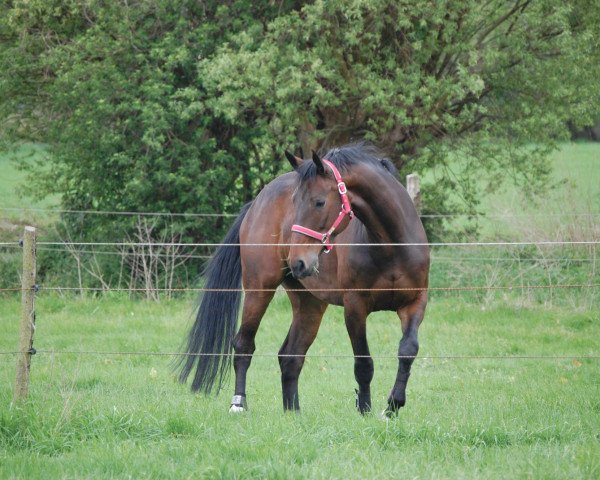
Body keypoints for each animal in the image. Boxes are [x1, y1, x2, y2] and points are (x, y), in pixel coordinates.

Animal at [176, 141, 428, 414]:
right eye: (295, 202)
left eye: (319, 202)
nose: (298, 261)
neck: (390, 245)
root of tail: (256, 202)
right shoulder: (355, 306)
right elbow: (363, 363)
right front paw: (365, 410)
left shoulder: (415, 303)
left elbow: (408, 350)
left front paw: (393, 405)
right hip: (259, 289)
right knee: (244, 345)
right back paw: (238, 404)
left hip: (310, 303)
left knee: (290, 355)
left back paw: (293, 412)